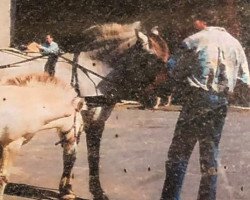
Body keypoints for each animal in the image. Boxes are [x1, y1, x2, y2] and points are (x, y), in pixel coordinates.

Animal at [0, 21, 170, 199]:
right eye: (152, 60)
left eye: (166, 58)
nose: (166, 94)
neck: (91, 72)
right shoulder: (84, 120)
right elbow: (87, 155)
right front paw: (94, 191)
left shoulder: (83, 122)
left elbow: (74, 155)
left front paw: (67, 188)